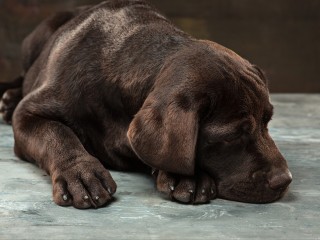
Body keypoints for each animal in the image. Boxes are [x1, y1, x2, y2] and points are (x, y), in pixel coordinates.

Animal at [0, 0, 292, 208]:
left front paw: (188, 176)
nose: (285, 180)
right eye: (232, 136)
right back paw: (9, 99)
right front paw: (80, 173)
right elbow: (57, 133)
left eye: (267, 122)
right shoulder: (30, 113)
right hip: (34, 42)